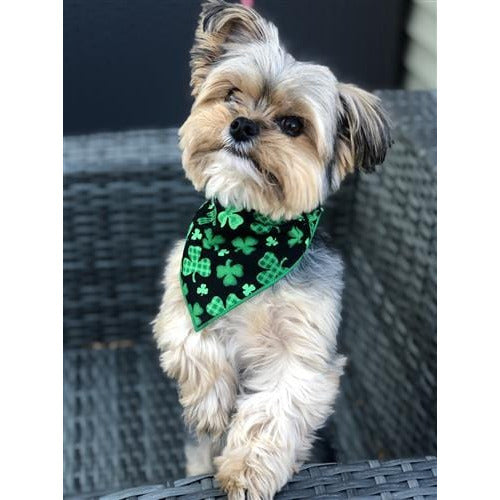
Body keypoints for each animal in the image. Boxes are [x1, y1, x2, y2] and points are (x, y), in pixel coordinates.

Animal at [152, 1, 390, 498]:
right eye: (231, 95)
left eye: (292, 125)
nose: (241, 124)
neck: (244, 236)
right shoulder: (183, 291)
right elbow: (192, 340)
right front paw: (210, 407)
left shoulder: (303, 351)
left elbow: (274, 409)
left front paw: (246, 471)